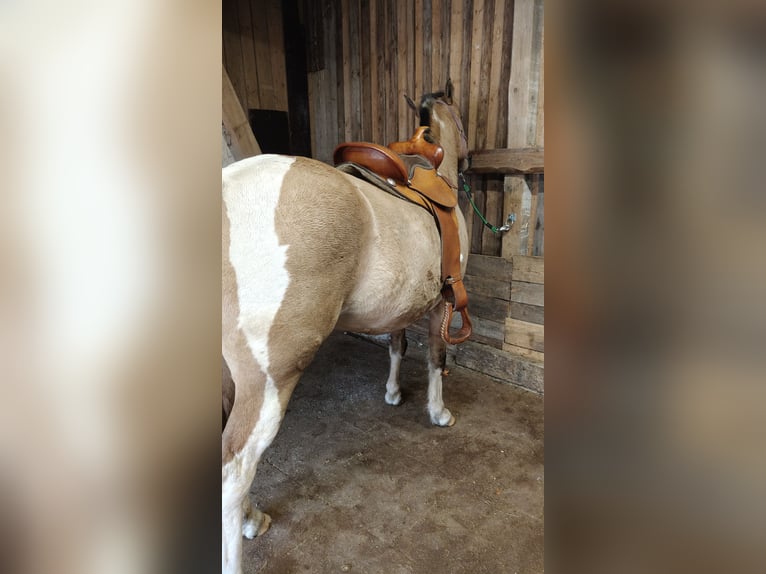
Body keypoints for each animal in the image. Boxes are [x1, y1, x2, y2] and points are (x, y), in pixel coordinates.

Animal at [221, 81, 470, 574]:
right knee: (234, 474)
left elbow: (396, 346)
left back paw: (254, 517)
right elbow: (436, 358)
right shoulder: (441, 305)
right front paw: (438, 413)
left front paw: (393, 393)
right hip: (266, 385)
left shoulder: (399, 306)